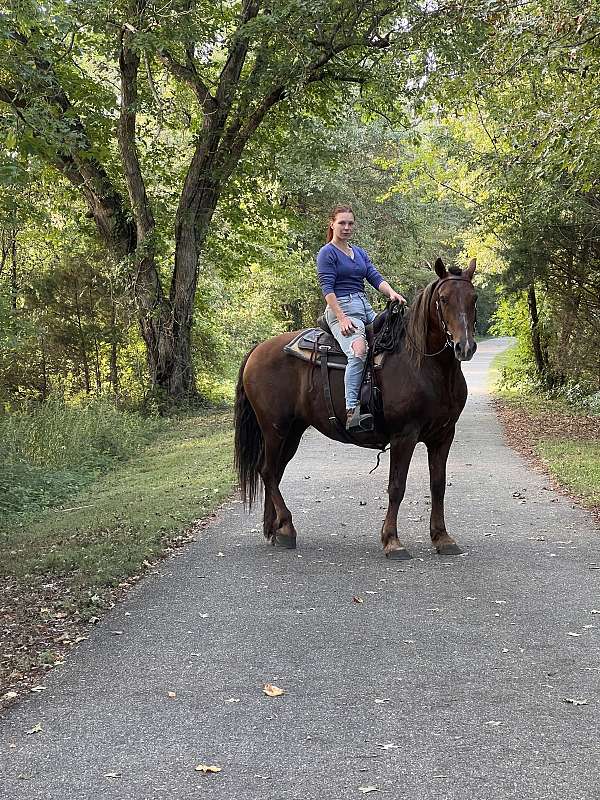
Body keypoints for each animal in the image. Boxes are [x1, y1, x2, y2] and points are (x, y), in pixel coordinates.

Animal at [234, 260, 478, 560]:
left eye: (473, 298)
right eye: (443, 299)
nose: (464, 346)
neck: (422, 364)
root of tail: (258, 349)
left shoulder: (443, 436)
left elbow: (438, 485)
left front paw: (442, 538)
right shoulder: (404, 436)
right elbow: (397, 486)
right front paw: (392, 540)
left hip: (292, 431)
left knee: (275, 473)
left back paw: (274, 530)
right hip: (274, 428)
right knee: (267, 471)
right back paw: (287, 528)